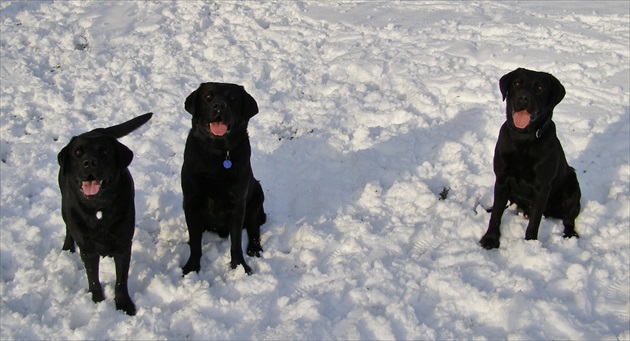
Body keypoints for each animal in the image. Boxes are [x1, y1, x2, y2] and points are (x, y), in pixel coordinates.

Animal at [58, 113, 154, 314]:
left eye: (105, 152)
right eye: (78, 152)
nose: (89, 162)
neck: (99, 208)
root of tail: (96, 129)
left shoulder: (123, 244)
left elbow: (121, 280)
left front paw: (123, 304)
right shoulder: (87, 249)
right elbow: (93, 278)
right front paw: (98, 300)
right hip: (65, 206)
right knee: (68, 227)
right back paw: (68, 247)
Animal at [181, 83, 266, 276]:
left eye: (232, 98)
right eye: (208, 96)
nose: (219, 105)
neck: (217, 154)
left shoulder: (238, 204)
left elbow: (236, 242)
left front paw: (240, 266)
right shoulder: (191, 202)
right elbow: (195, 242)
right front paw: (192, 268)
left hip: (257, 195)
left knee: (254, 226)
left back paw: (254, 248)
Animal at [484, 67, 584, 248]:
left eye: (539, 88)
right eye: (517, 83)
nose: (523, 98)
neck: (524, 141)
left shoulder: (542, 187)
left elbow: (535, 221)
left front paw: (530, 243)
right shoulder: (502, 179)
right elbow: (496, 214)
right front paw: (490, 239)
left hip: (572, 187)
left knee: (569, 219)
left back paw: (570, 235)